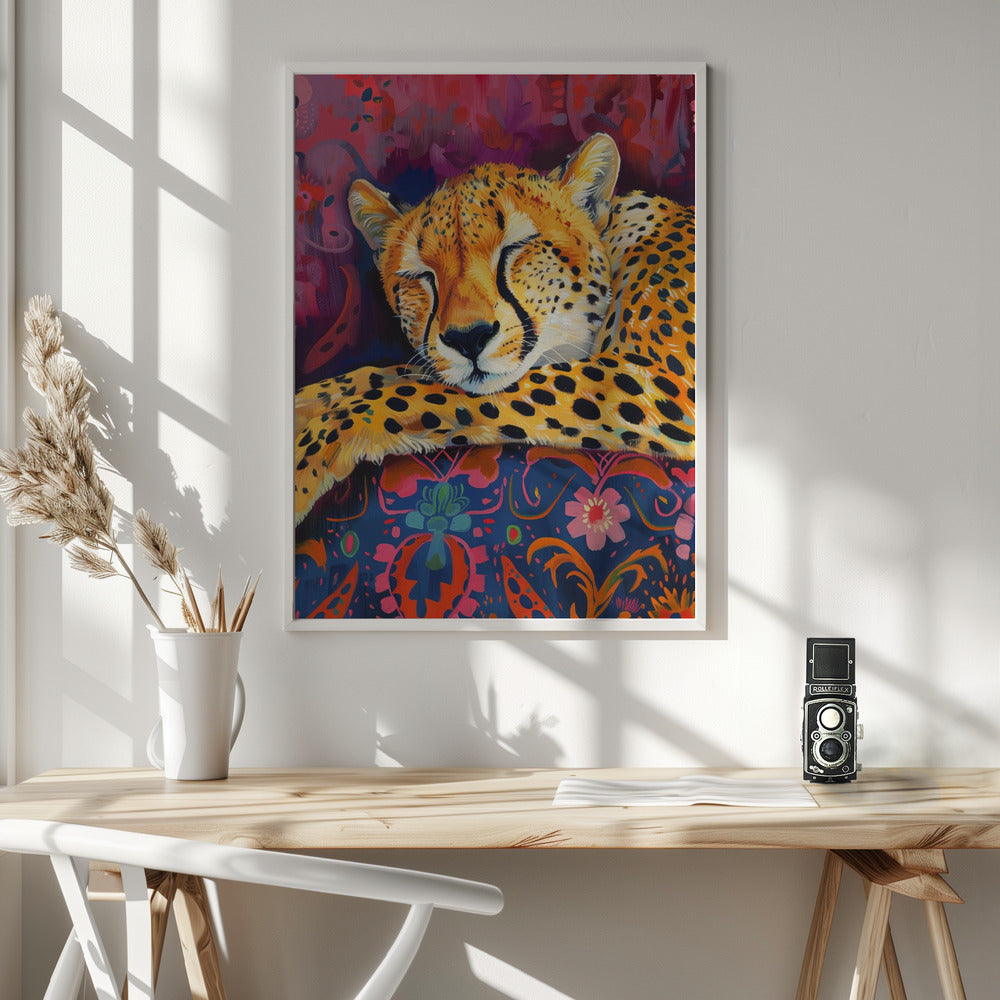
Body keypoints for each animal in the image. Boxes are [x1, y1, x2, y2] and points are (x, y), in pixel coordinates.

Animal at [294, 132, 696, 524]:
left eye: (516, 248)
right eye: (422, 276)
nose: (468, 338)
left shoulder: (659, 382)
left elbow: (409, 395)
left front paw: (306, 459)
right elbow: (388, 376)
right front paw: (306, 405)